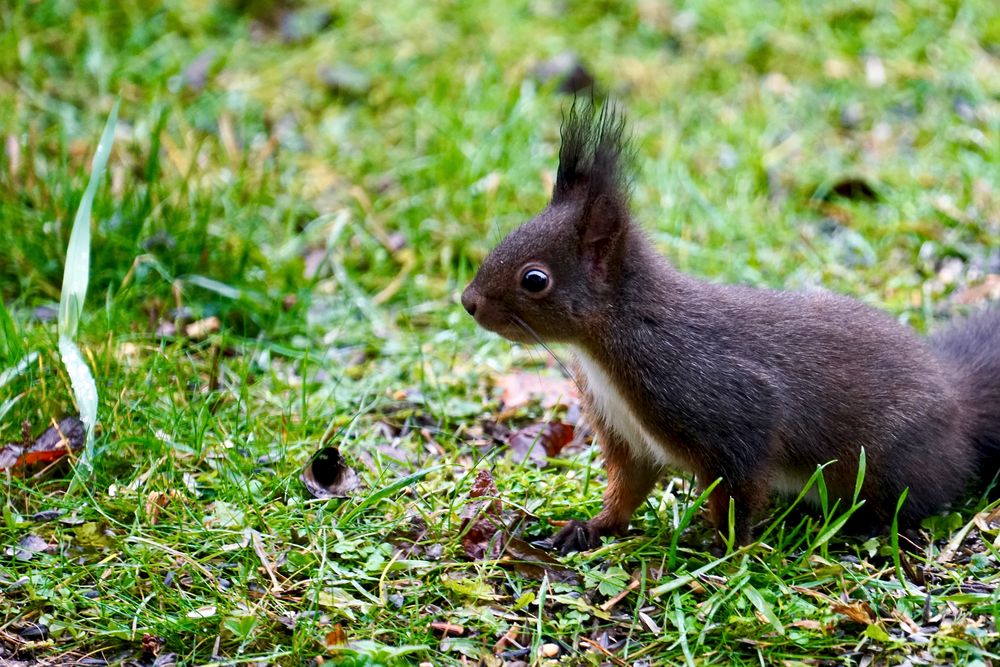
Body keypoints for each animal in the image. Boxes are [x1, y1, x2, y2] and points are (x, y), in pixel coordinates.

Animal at [460, 102, 1000, 556]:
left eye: (535, 279)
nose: (469, 303)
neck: (612, 346)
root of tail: (959, 407)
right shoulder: (625, 432)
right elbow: (629, 485)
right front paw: (591, 528)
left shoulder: (726, 406)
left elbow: (740, 489)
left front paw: (725, 551)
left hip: (887, 463)